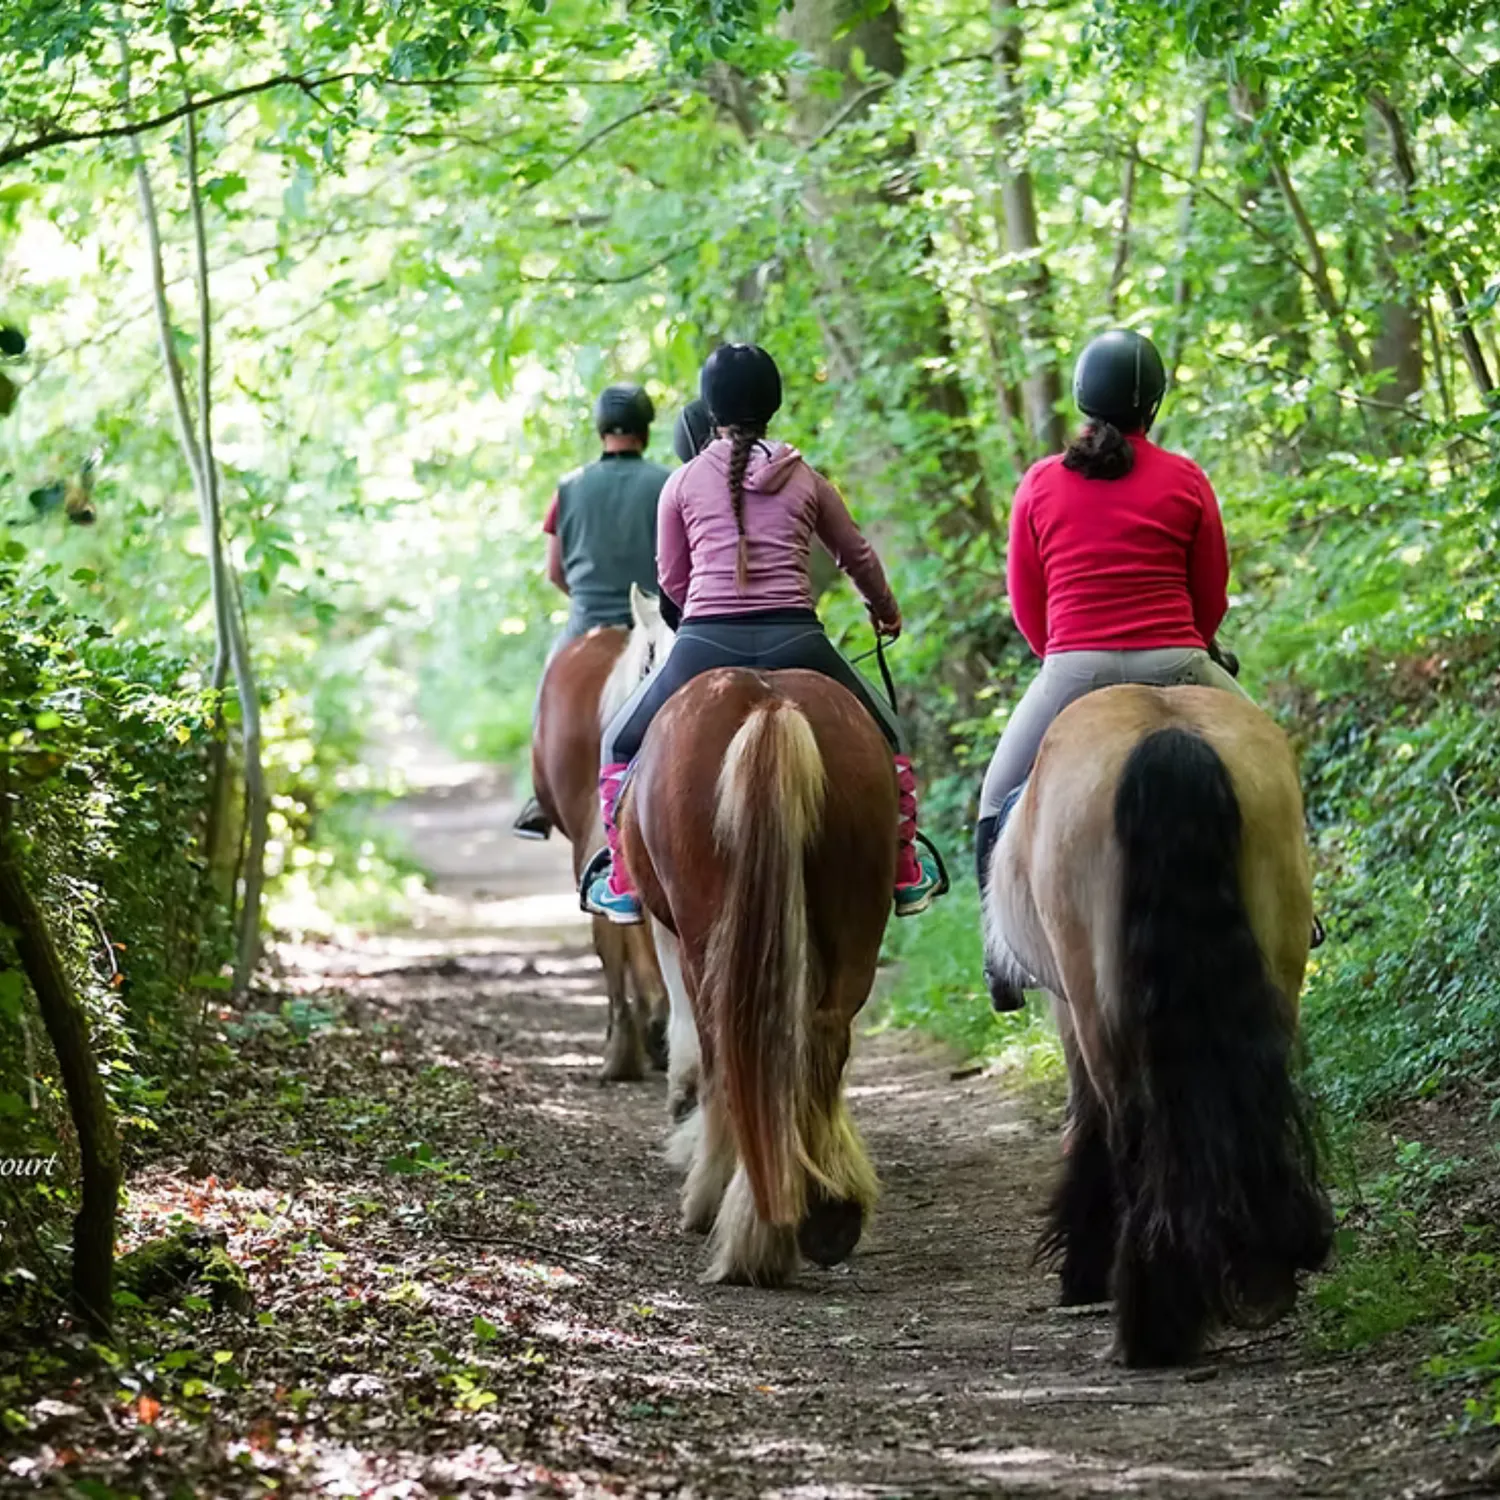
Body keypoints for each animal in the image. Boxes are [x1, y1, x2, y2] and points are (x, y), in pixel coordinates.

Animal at [620, 668, 895, 1285]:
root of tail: (771, 705)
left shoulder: (668, 934)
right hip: (856, 921)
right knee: (820, 1041)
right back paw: (829, 1214)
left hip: (706, 937)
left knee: (729, 1051)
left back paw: (740, 1223)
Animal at [981, 683, 1332, 1366]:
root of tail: (1168, 734)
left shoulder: (1067, 1008)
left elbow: (1085, 1122)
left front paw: (1081, 1273)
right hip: (1277, 972)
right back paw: (1264, 1274)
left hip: (1098, 1009)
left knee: (1131, 1131)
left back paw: (1151, 1325)